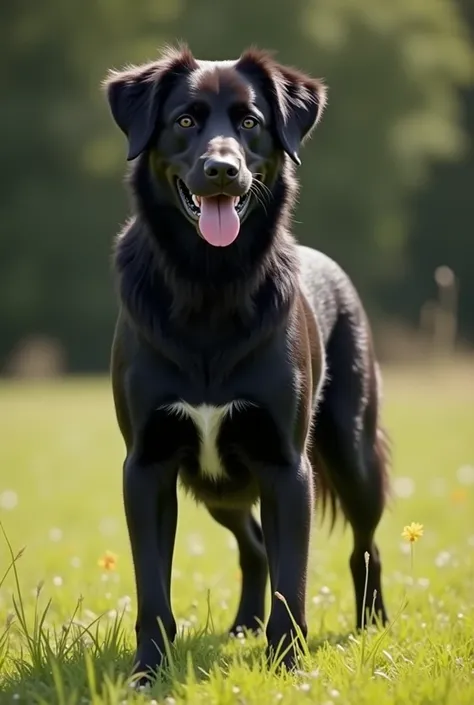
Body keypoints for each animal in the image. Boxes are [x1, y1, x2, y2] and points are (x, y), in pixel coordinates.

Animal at [105, 44, 390, 676]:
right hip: (218, 488)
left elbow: (294, 580)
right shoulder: (147, 466)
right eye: (186, 120)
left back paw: (373, 627)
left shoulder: (286, 466)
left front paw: (288, 667)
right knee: (255, 545)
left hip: (351, 451)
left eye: (251, 122)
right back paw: (242, 626)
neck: (210, 283)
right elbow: (152, 589)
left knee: (366, 546)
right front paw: (148, 671)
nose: (222, 170)